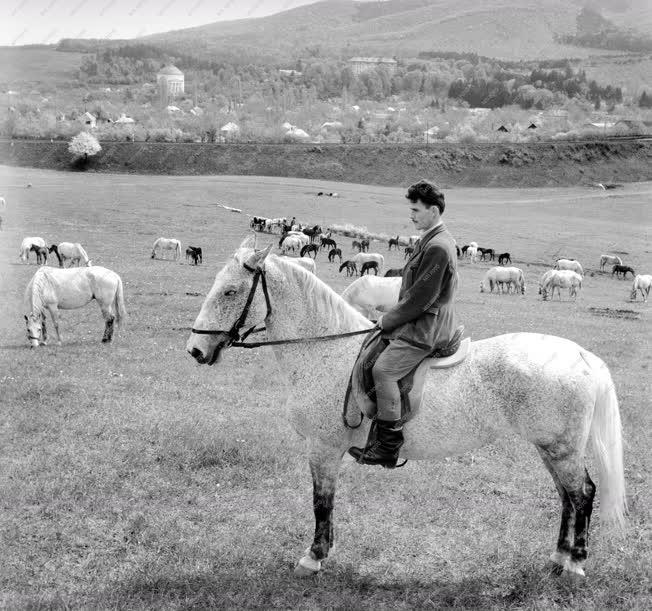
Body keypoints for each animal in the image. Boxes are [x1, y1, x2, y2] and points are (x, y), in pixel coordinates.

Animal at [187, 238, 628, 580]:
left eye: (230, 292)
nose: (195, 350)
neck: (326, 350)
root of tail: (582, 355)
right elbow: (324, 502)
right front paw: (321, 553)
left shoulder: (323, 448)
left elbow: (321, 502)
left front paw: (313, 558)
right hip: (550, 449)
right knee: (567, 497)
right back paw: (557, 558)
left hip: (561, 450)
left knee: (583, 495)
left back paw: (575, 564)